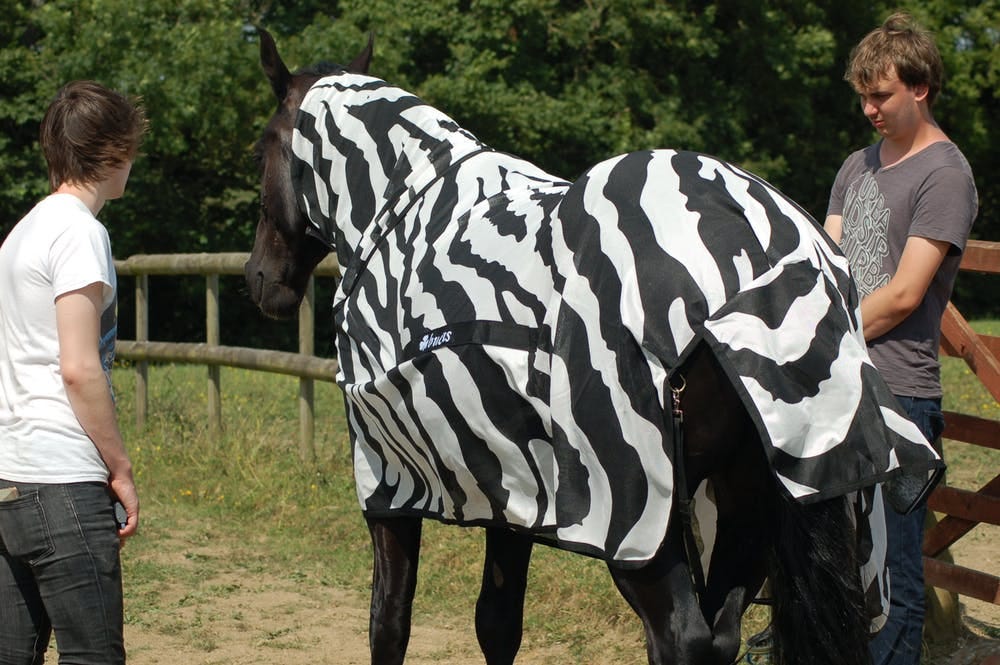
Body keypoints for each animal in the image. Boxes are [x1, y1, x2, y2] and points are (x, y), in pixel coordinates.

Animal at [244, 28, 944, 660]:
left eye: (262, 150)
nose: (260, 281)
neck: (401, 216)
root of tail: (766, 251)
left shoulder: (389, 482)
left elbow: (388, 623)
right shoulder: (515, 490)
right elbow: (497, 623)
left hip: (640, 524)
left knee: (682, 638)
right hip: (750, 498)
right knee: (720, 634)